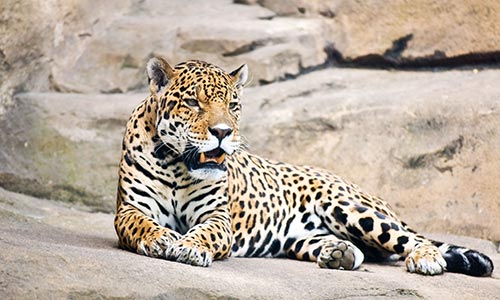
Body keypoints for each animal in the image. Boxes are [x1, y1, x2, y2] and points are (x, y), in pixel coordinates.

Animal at [114, 56, 492, 276]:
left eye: (233, 105)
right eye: (192, 103)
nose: (223, 133)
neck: (178, 166)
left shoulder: (218, 217)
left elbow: (207, 232)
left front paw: (191, 247)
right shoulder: (129, 208)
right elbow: (138, 225)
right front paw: (161, 238)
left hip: (347, 207)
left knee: (408, 241)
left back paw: (426, 259)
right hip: (304, 237)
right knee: (365, 253)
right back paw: (339, 254)